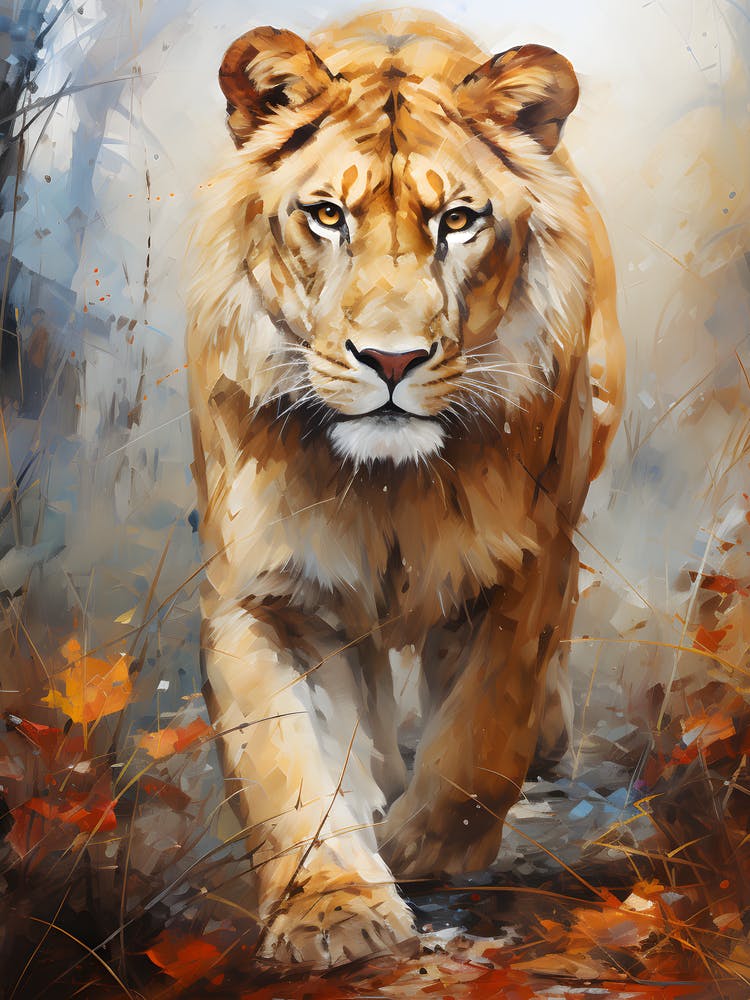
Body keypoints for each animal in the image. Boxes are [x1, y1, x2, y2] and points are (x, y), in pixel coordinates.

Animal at [186, 7, 625, 968]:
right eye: (327, 215)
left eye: (457, 220)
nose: (391, 360)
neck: (388, 487)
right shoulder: (264, 591)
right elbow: (287, 763)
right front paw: (333, 909)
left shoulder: (528, 566)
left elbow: (481, 742)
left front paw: (421, 851)